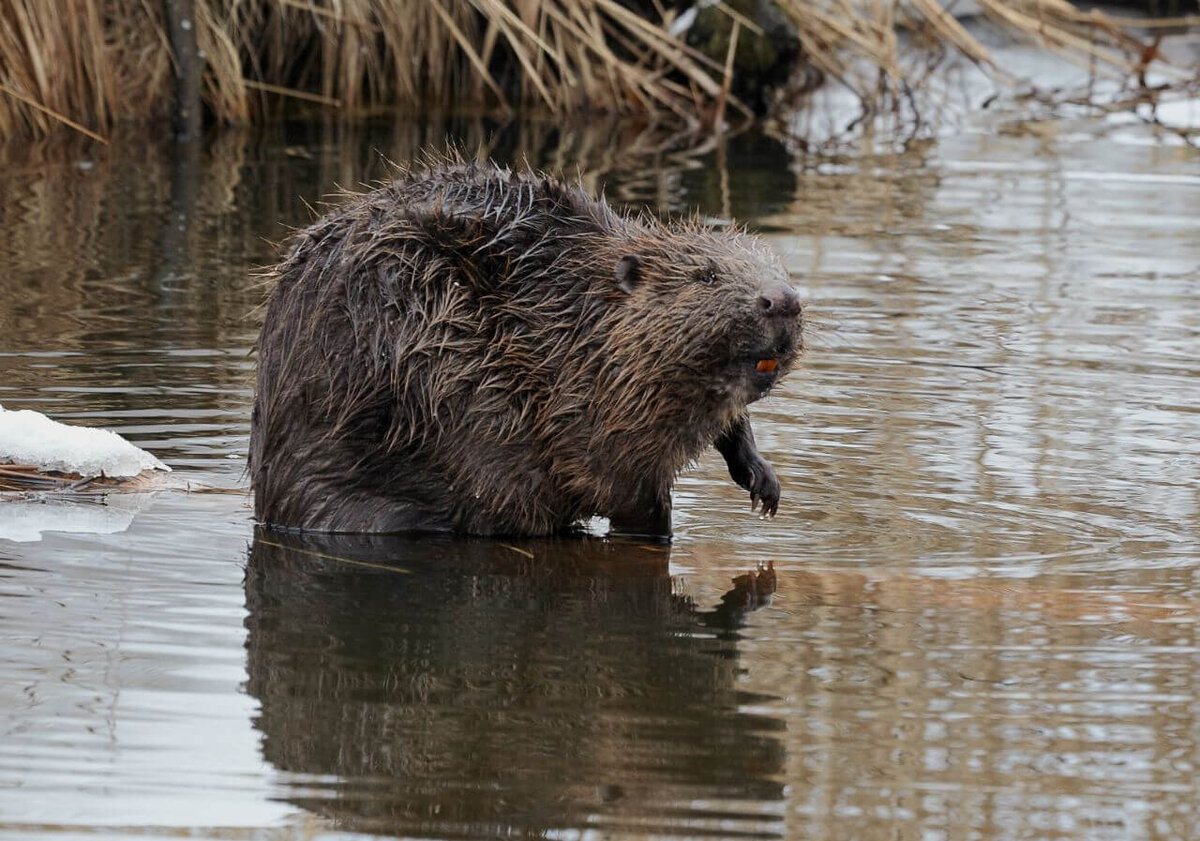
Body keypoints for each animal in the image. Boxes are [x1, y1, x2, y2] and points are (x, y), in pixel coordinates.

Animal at [248, 155, 801, 537]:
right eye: (705, 276)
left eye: (778, 267)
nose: (784, 300)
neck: (578, 313)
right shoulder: (583, 398)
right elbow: (612, 481)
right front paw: (662, 527)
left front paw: (764, 485)